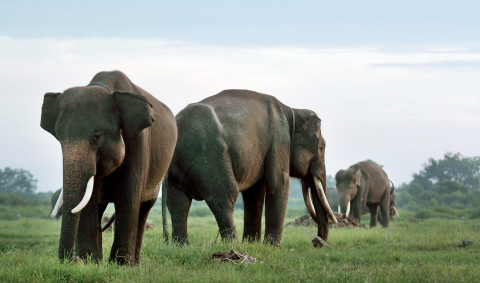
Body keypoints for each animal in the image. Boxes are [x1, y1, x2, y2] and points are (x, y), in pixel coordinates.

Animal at [40, 71, 177, 266]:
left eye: (96, 137)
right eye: (59, 137)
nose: (73, 260)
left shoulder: (138, 141)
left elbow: (127, 195)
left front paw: (121, 264)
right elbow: (89, 201)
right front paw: (90, 262)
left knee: (144, 208)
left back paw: (133, 264)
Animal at [165, 90, 338, 247]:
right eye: (321, 148)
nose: (315, 242)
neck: (292, 110)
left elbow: (254, 193)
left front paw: (252, 243)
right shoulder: (279, 141)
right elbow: (278, 184)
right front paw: (272, 247)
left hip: (178, 165)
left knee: (178, 203)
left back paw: (181, 246)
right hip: (209, 157)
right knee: (224, 196)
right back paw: (233, 245)